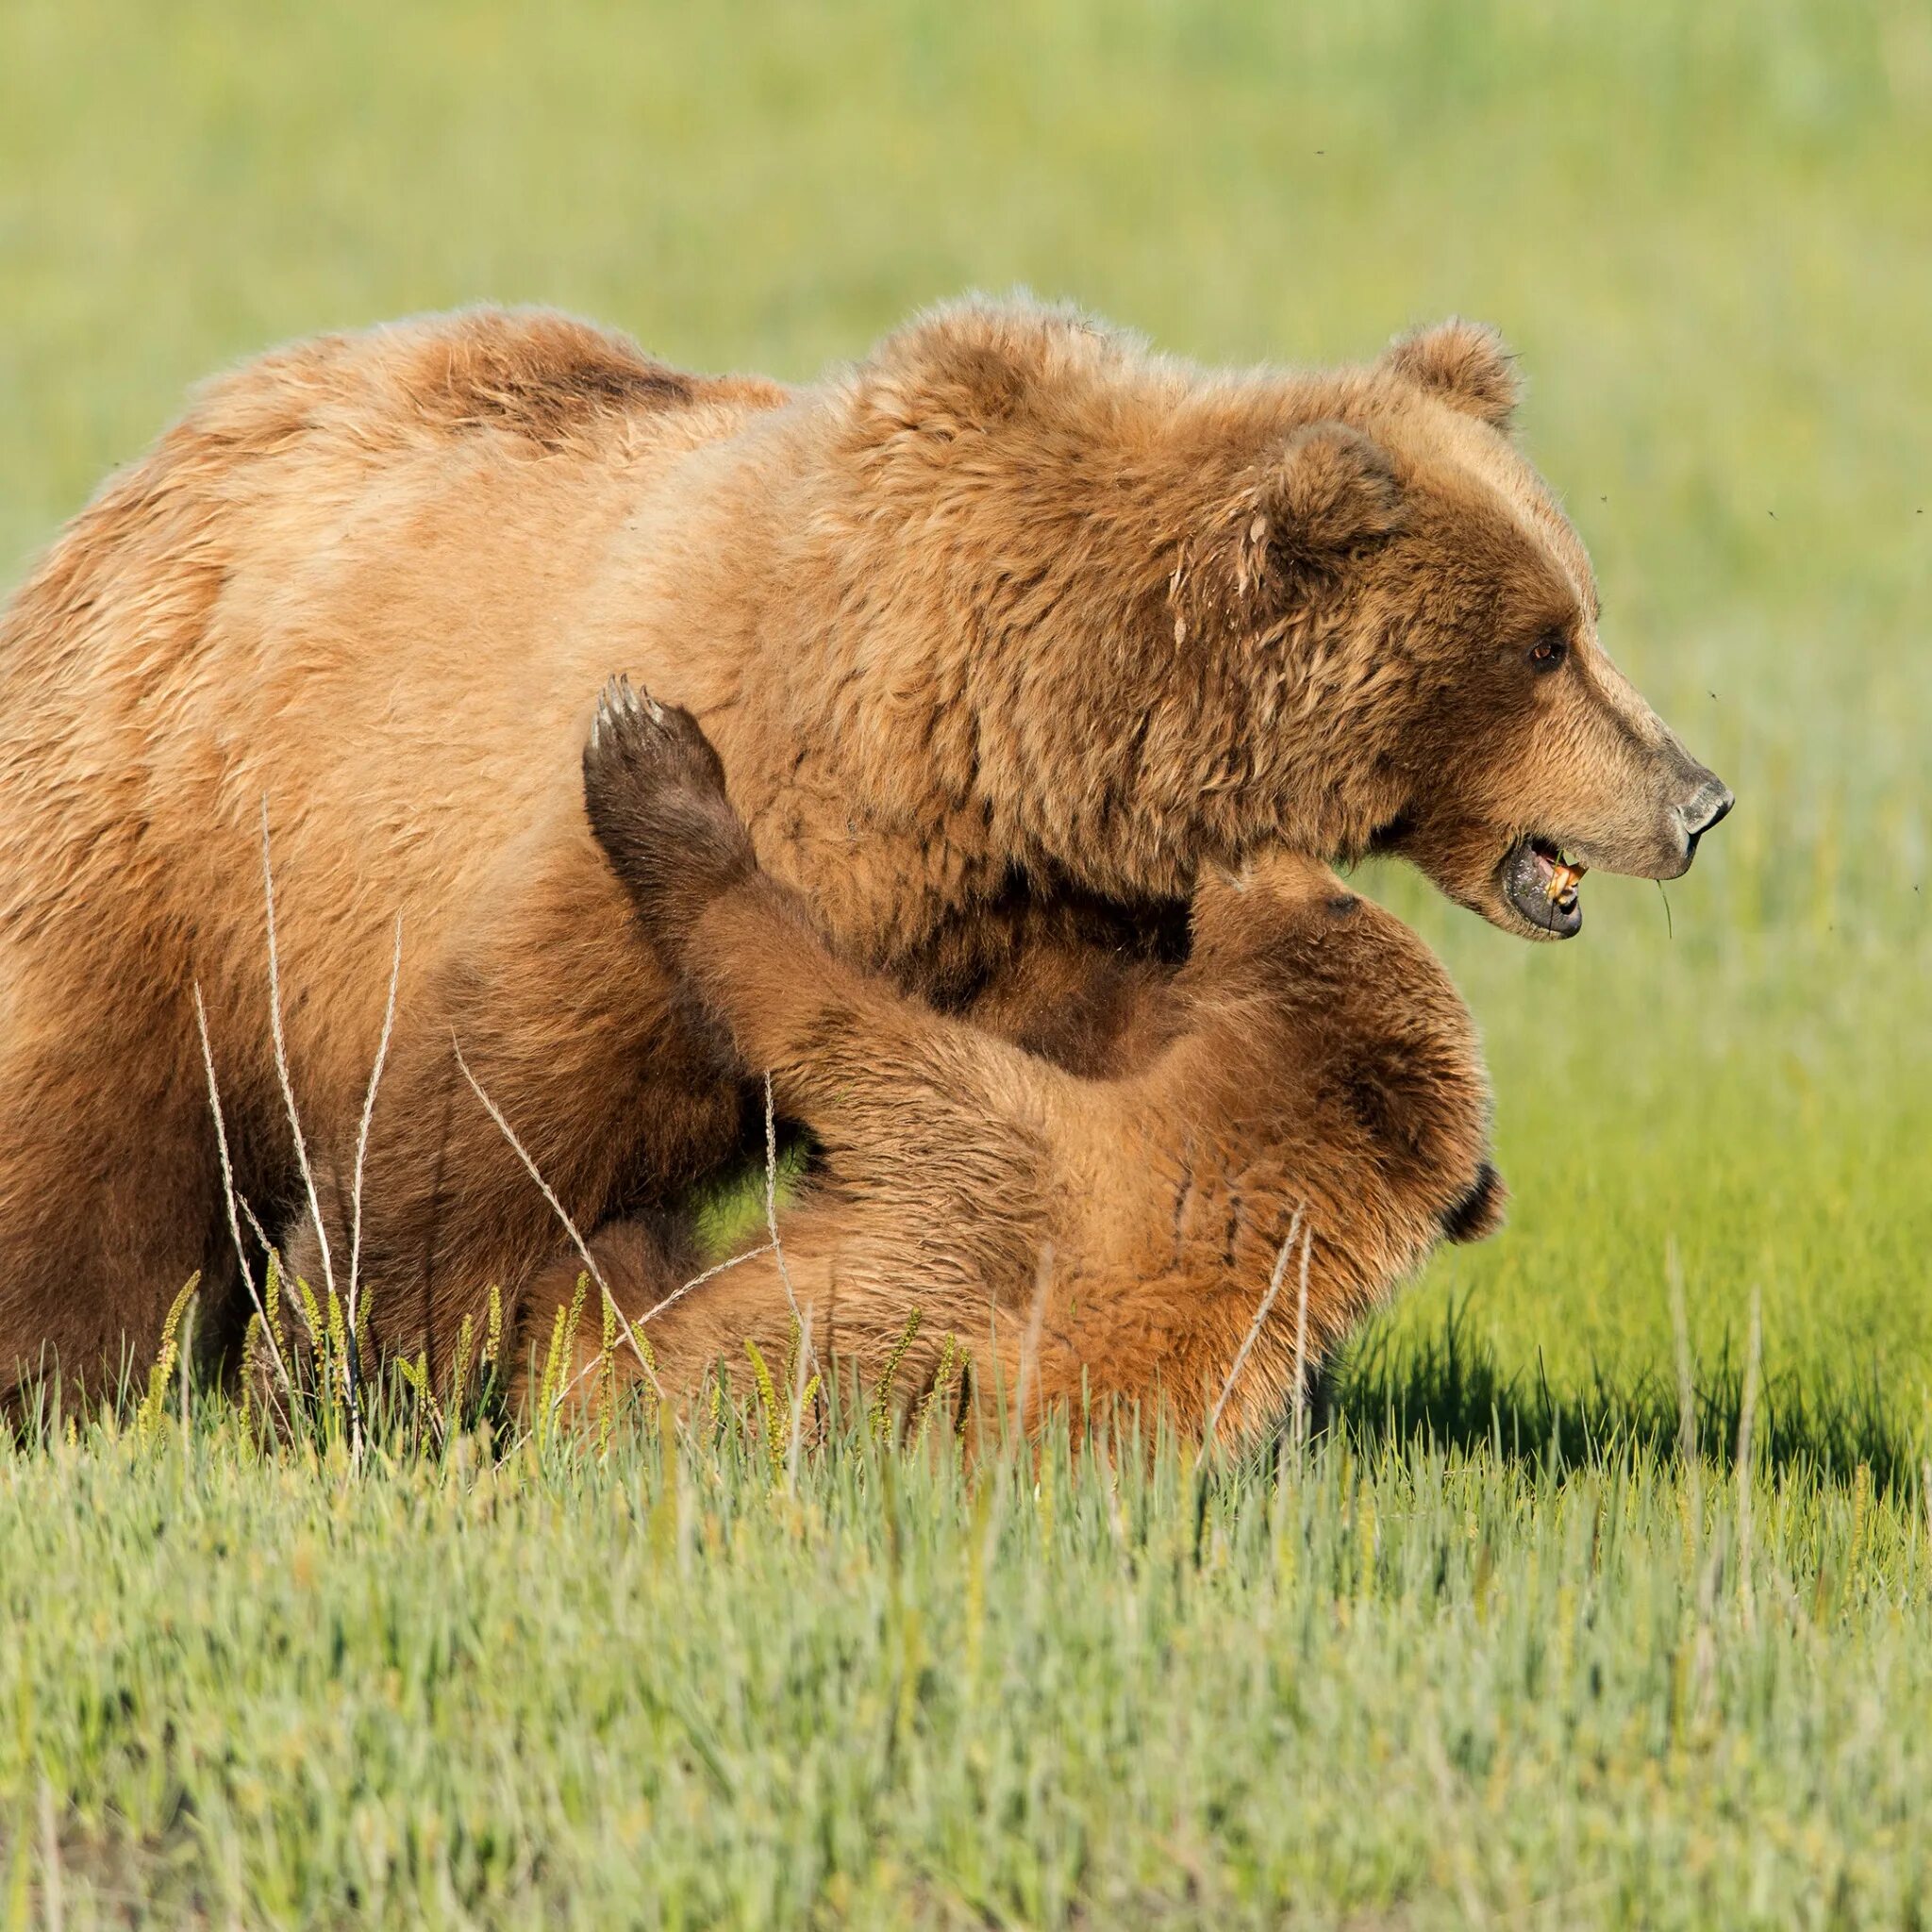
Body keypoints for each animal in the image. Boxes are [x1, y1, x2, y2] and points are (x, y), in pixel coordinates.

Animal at [0, 297, 1731, 1391]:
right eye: (1544, 643)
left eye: (1577, 613)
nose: (1697, 798)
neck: (986, 740)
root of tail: (164, 461)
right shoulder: (729, 793)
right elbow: (494, 1115)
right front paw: (359, 1374)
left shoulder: (1039, 930)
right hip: (173, 825)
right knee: (91, 1137)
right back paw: (63, 1376)